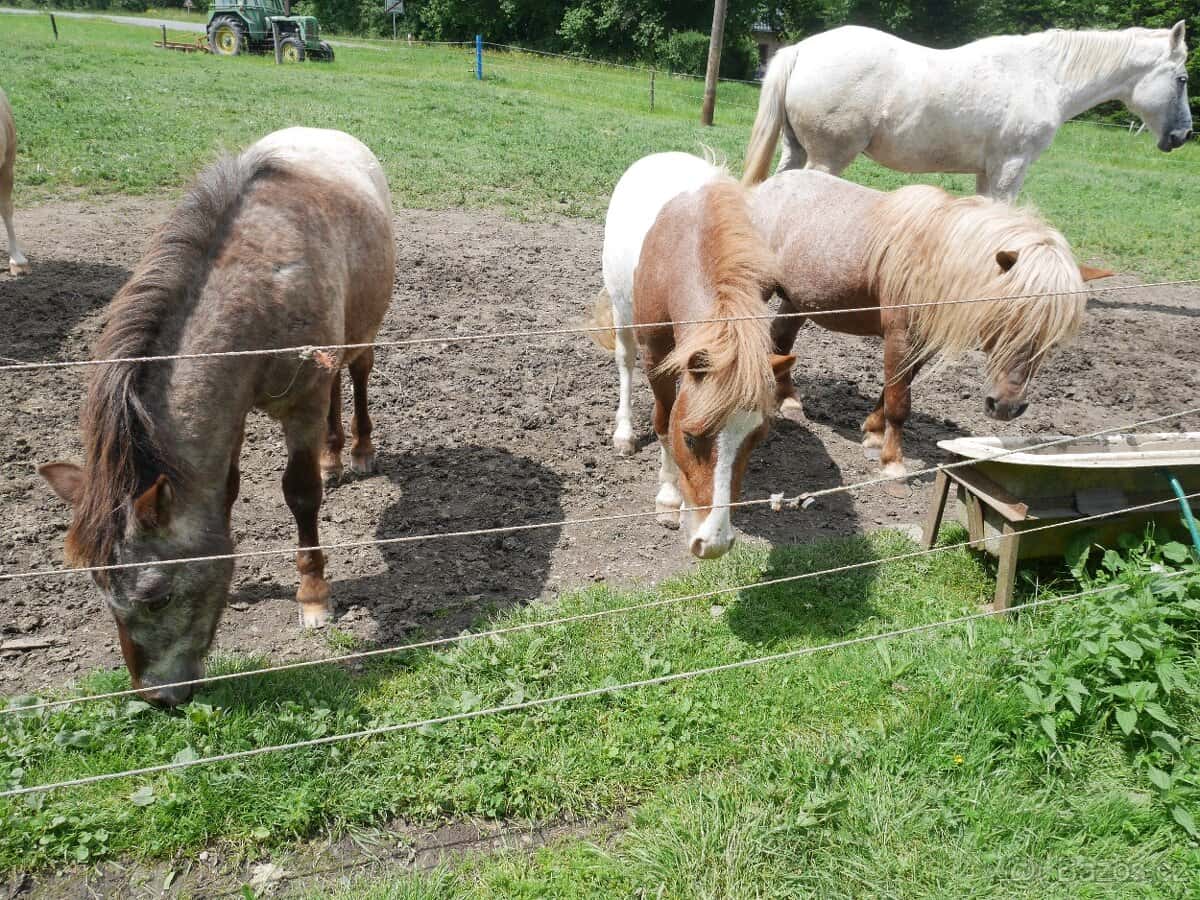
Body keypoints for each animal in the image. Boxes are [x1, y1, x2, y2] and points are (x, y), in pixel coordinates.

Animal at [37, 127, 395, 706]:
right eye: (98, 586)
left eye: (157, 596)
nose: (158, 698)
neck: (259, 290)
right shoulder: (235, 410)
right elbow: (225, 491)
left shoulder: (301, 405)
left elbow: (300, 495)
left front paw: (313, 595)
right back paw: (333, 458)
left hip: (366, 326)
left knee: (358, 374)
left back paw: (359, 453)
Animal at [591, 153, 792, 559]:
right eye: (688, 438)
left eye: (757, 438)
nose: (712, 543)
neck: (689, 250)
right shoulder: (657, 358)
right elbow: (662, 420)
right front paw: (669, 499)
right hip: (622, 310)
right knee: (624, 362)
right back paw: (624, 433)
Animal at [743, 23, 1193, 200]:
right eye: (1183, 79)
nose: (1184, 136)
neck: (1044, 75)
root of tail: (801, 50)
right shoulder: (1011, 167)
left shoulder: (986, 171)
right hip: (826, 160)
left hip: (797, 150)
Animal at [750, 168, 1111, 478]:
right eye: (1004, 317)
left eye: (1055, 339)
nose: (1007, 407)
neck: (935, 257)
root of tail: (764, 188)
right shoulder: (900, 337)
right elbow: (899, 401)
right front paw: (893, 463)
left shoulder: (923, 343)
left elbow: (893, 388)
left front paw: (873, 433)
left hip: (798, 299)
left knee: (782, 339)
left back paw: (789, 400)